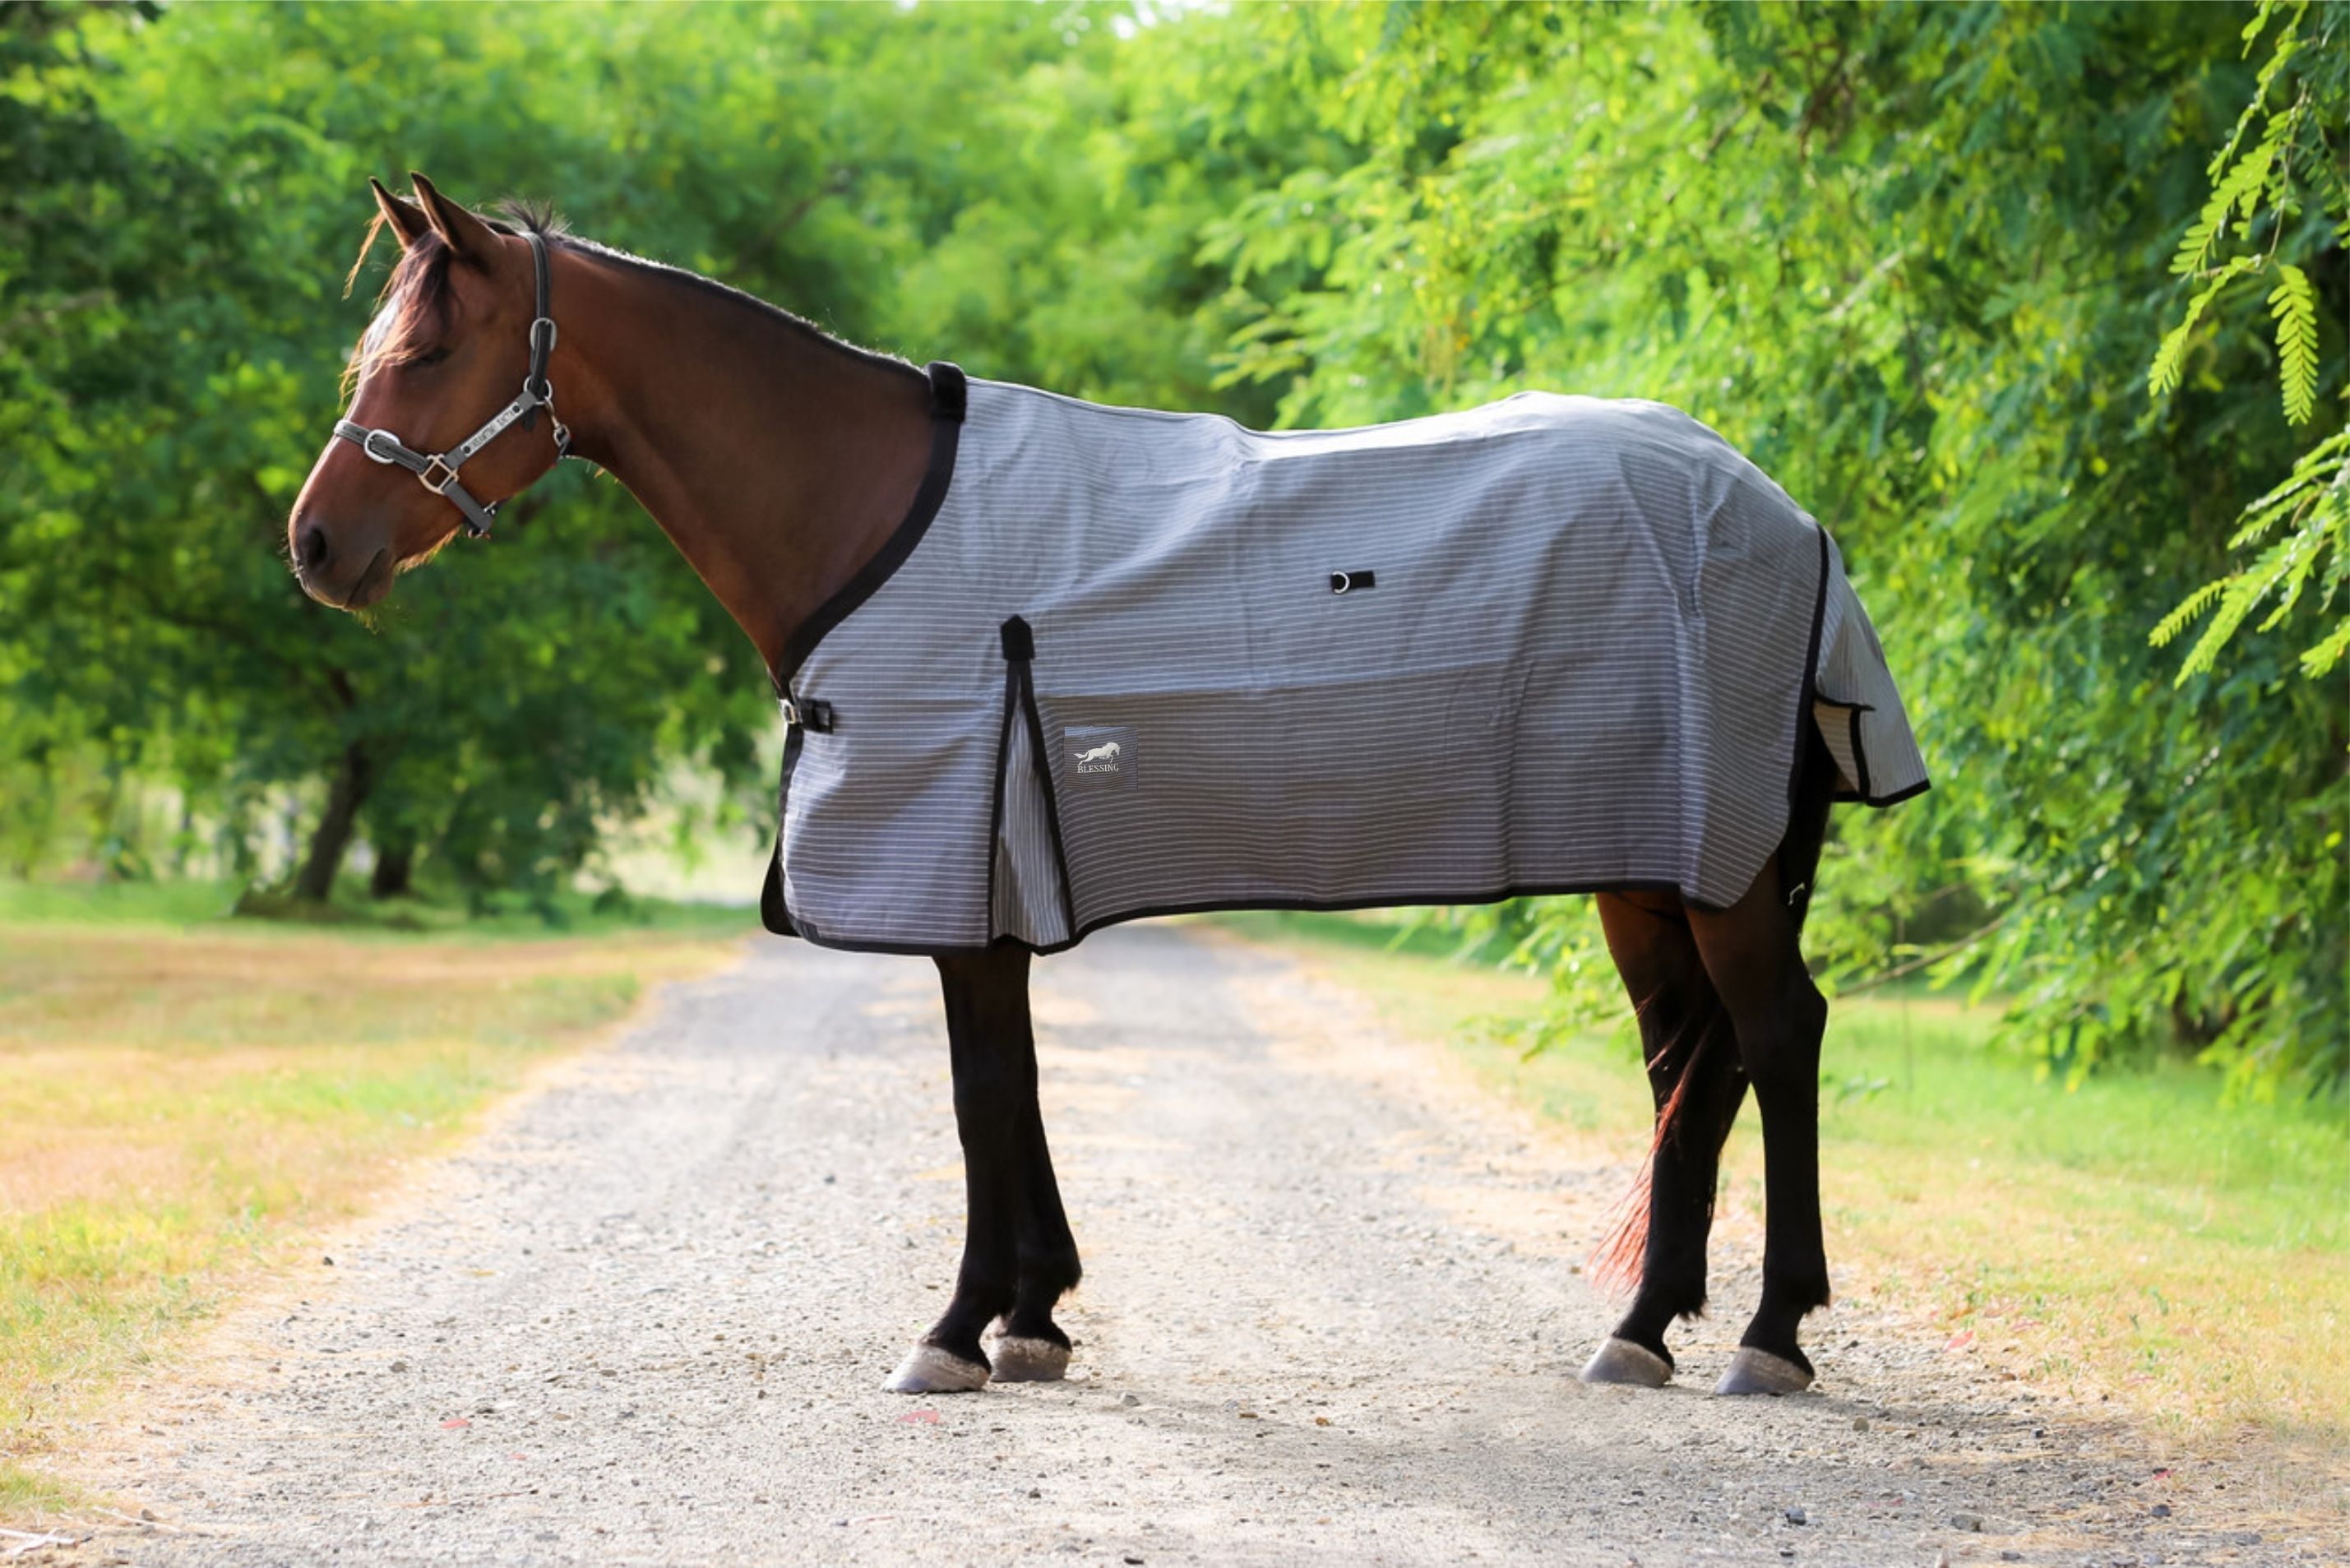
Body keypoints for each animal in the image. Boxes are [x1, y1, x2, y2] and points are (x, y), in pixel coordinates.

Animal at [287, 176, 1926, 1400]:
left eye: (423, 354)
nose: (312, 546)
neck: (869, 512)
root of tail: (1782, 509)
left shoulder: (951, 859)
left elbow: (974, 1094)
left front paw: (955, 1330)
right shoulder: (989, 870)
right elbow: (1009, 1085)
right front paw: (1034, 1314)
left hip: (1717, 865)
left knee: (1776, 1035)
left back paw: (1769, 1338)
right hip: (1651, 864)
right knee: (1682, 1063)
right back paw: (1640, 1328)